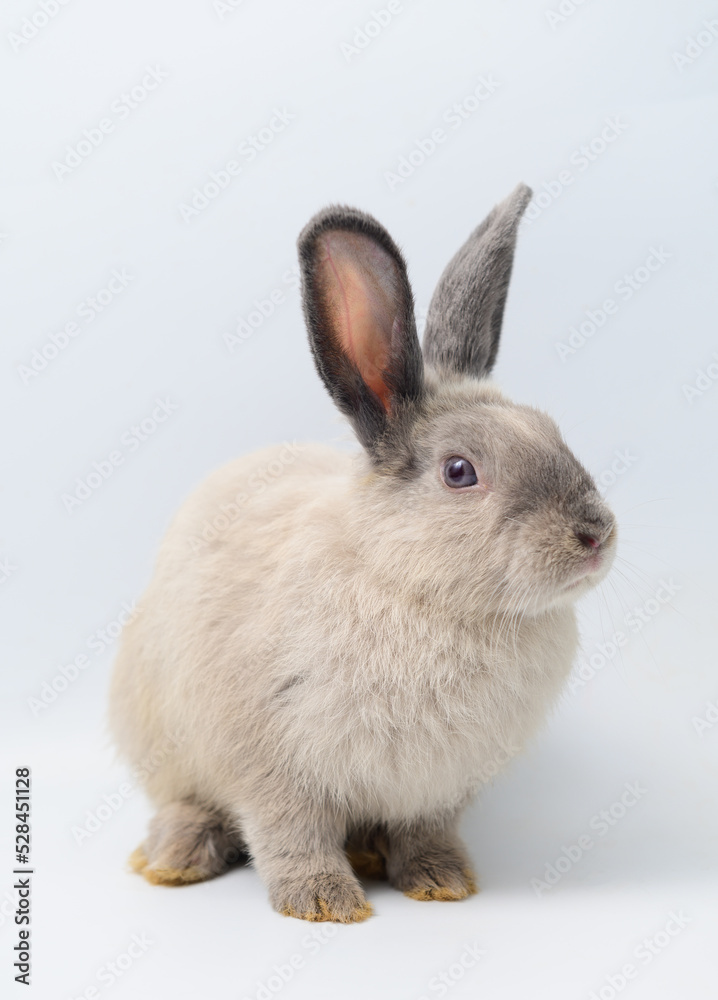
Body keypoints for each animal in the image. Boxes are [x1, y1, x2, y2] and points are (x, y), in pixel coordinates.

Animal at [108, 186, 620, 920]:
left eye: (552, 431)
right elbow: (289, 834)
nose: (596, 534)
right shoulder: (271, 766)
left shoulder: (438, 789)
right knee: (186, 802)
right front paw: (325, 903)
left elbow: (425, 831)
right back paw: (174, 859)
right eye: (459, 472)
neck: (414, 587)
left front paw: (441, 881)